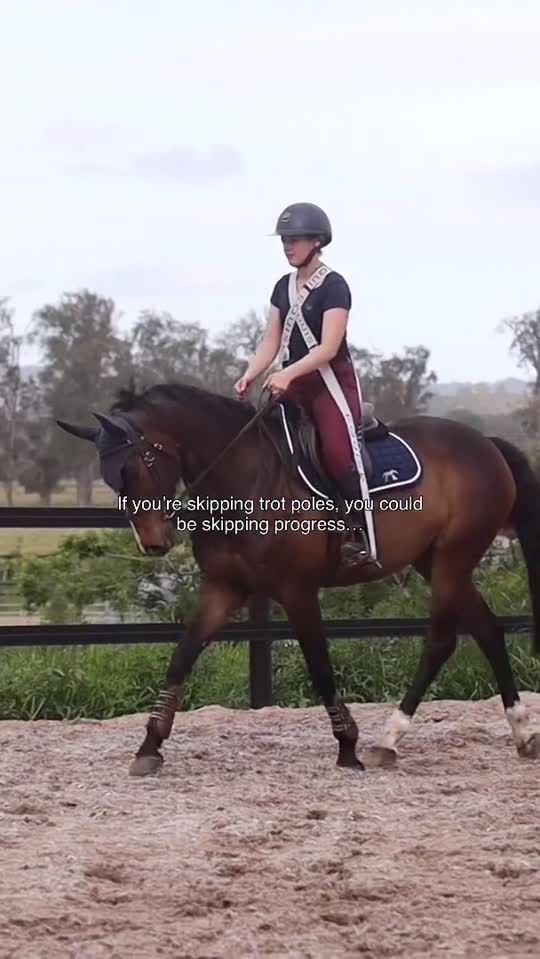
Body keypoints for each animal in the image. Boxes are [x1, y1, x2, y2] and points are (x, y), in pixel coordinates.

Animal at [57, 381, 540, 776]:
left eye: (134, 468)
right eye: (110, 477)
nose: (152, 542)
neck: (246, 477)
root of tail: (486, 443)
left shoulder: (297, 591)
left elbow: (319, 665)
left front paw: (347, 746)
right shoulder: (224, 588)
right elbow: (182, 657)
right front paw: (149, 746)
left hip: (453, 559)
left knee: (442, 641)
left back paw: (389, 739)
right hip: (435, 560)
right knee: (487, 629)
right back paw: (519, 732)